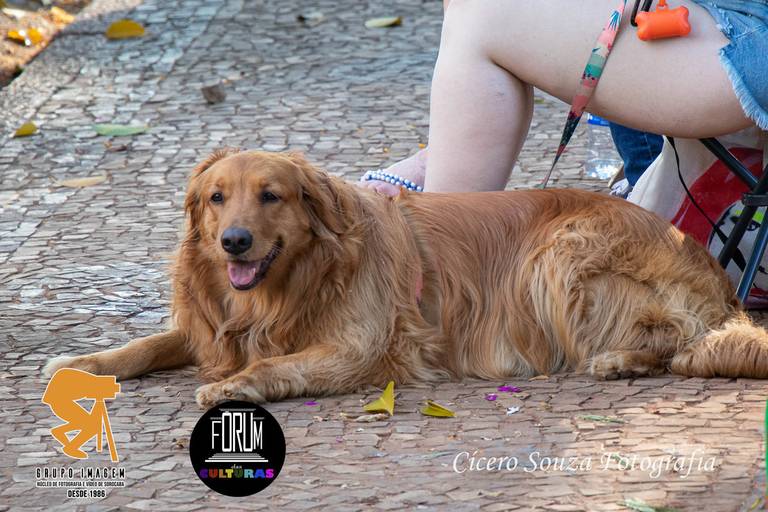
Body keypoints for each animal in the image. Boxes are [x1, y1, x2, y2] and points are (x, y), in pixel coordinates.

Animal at [43, 149, 768, 408]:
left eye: (271, 196)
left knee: (676, 338)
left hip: (558, 253)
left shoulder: (363, 348)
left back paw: (620, 358)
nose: (234, 242)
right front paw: (83, 362)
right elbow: (146, 345)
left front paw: (237, 386)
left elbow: (282, 365)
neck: (285, 290)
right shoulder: (212, 327)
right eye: (217, 198)